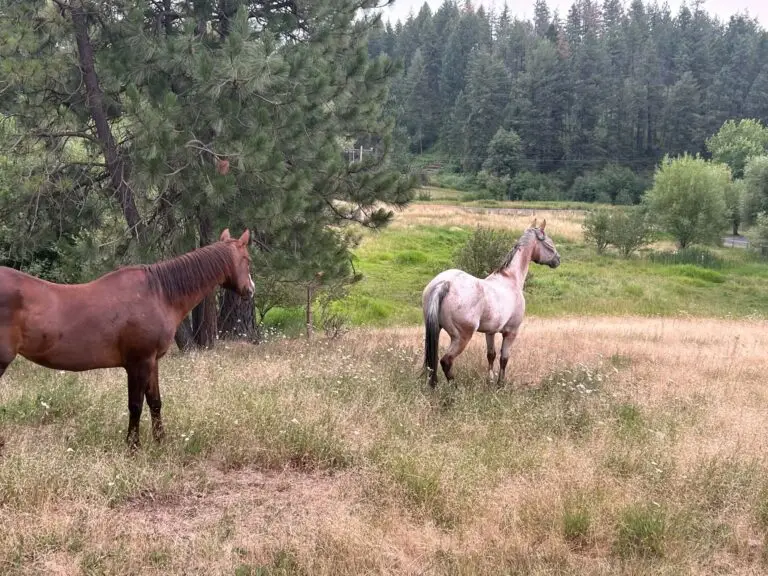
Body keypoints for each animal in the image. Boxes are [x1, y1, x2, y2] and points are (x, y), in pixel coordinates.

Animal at [0, 228, 254, 448]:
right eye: (248, 259)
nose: (251, 290)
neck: (159, 294)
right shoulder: (138, 363)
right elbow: (135, 405)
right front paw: (133, 446)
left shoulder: (152, 362)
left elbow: (155, 402)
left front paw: (160, 441)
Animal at [422, 219, 560, 388]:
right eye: (549, 243)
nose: (558, 260)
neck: (510, 279)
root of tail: (445, 283)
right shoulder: (511, 332)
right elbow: (504, 358)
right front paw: (500, 384)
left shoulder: (490, 332)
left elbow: (491, 355)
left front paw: (490, 380)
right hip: (461, 337)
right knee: (446, 361)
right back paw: (456, 388)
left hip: (435, 330)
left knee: (432, 363)